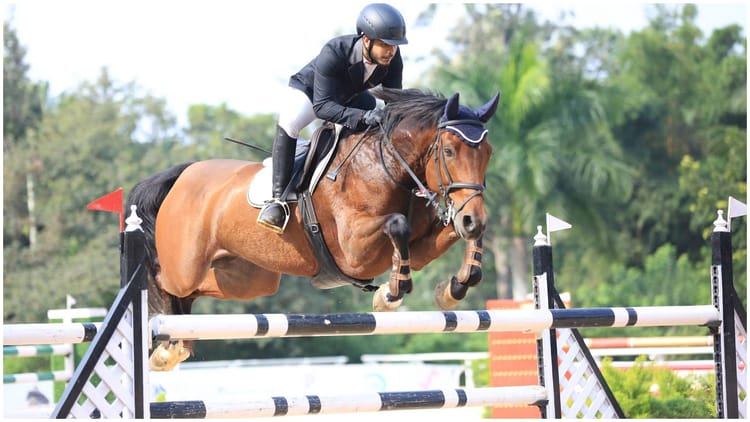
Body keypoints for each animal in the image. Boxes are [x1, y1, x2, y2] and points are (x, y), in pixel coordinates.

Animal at [127, 88, 499, 370]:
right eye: (448, 151)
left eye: (488, 154)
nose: (474, 218)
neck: (386, 167)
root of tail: (183, 174)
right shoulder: (355, 254)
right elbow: (399, 225)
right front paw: (389, 294)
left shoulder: (420, 242)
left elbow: (438, 239)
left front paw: (453, 286)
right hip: (185, 266)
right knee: (163, 281)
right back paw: (165, 346)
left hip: (247, 279)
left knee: (193, 293)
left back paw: (177, 342)